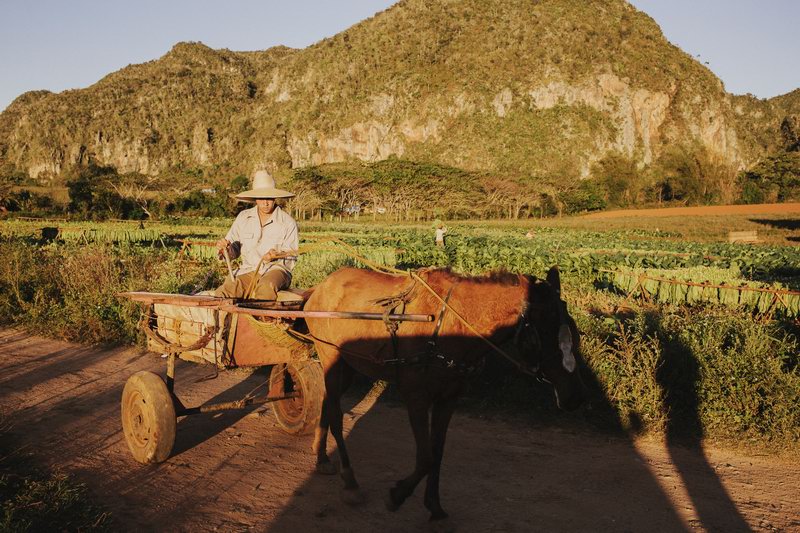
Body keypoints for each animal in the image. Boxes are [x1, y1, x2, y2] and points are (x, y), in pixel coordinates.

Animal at [304, 264, 584, 520]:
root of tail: (320, 288)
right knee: (337, 416)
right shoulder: (416, 397)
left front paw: (434, 506)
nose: (574, 397)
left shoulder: (448, 399)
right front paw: (397, 495)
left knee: (327, 402)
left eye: (574, 331)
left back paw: (322, 457)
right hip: (330, 356)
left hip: (348, 367)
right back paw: (350, 481)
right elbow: (425, 458)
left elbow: (437, 453)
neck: (452, 323)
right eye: (545, 332)